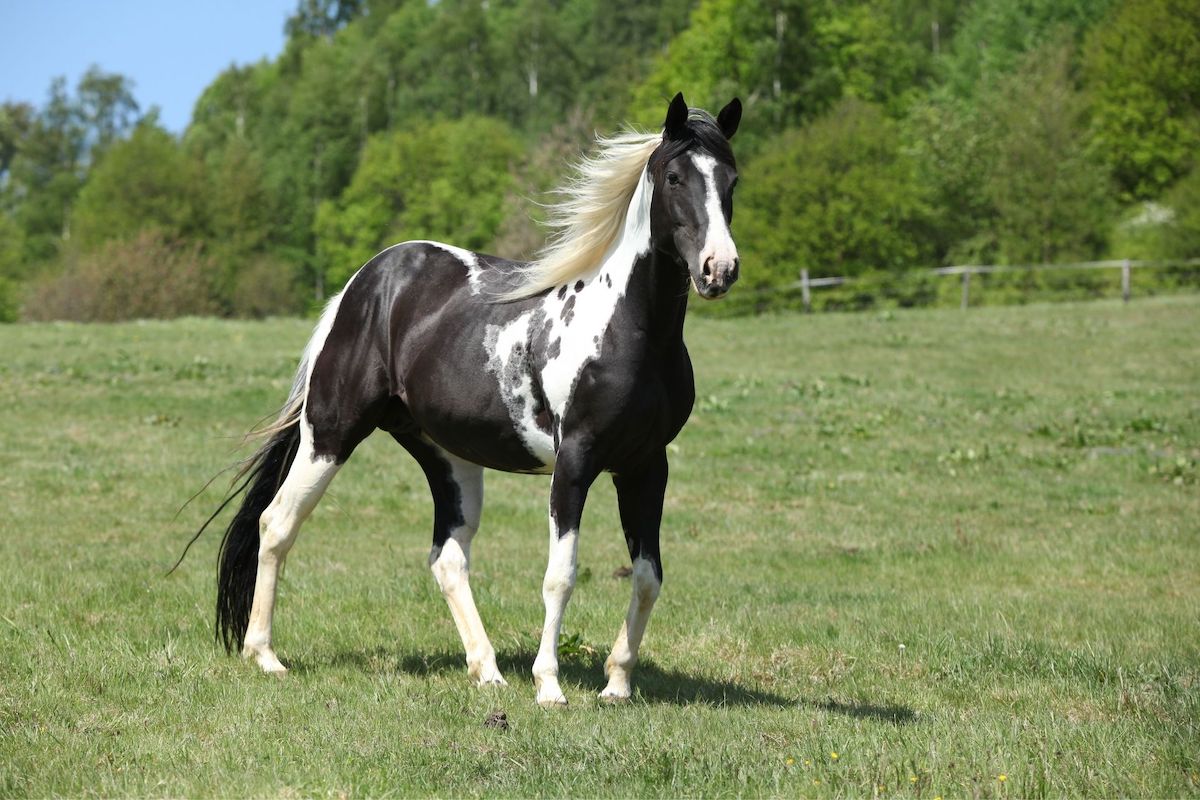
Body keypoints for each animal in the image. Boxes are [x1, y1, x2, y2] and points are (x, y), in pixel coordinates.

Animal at [198, 94, 739, 705]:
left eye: (732, 179)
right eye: (674, 177)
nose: (719, 269)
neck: (626, 331)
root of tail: (365, 283)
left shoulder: (646, 465)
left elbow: (648, 576)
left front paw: (617, 683)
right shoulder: (575, 463)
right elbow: (561, 576)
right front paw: (549, 687)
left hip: (449, 459)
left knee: (448, 558)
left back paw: (487, 670)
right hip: (329, 436)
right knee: (276, 523)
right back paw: (265, 655)